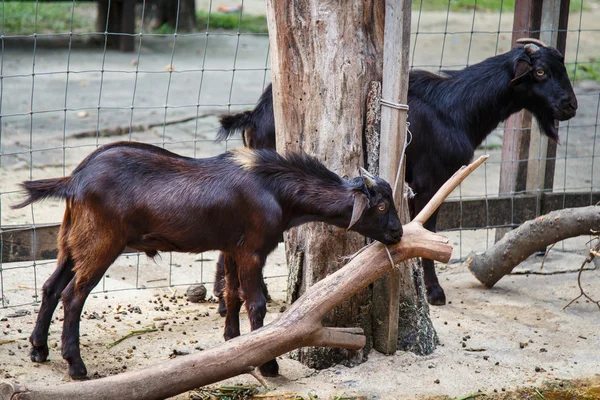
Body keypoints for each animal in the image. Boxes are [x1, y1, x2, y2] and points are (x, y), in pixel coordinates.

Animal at [10, 142, 404, 380]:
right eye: (381, 206)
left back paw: (38, 349)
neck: (275, 189)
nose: (398, 234)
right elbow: (256, 303)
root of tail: (75, 178)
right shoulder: (253, 250)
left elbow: (231, 294)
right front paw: (268, 362)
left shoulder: (230, 248)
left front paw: (232, 344)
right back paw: (76, 366)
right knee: (72, 296)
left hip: (71, 240)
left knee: (51, 286)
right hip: (101, 243)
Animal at [214, 39, 576, 304]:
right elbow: (427, 227)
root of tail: (255, 115)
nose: (570, 105)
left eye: (562, 66)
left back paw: (224, 295)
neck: (456, 108)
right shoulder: (432, 181)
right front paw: (433, 292)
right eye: (540, 72)